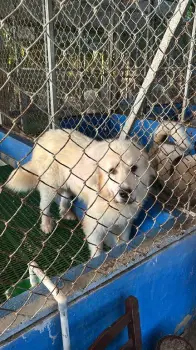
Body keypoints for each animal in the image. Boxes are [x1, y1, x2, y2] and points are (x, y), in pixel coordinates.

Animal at [6, 129, 155, 258]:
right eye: (112, 171)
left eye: (134, 168)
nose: (125, 193)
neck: (110, 199)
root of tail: (46, 134)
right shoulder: (93, 225)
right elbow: (97, 251)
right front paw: (97, 261)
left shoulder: (125, 223)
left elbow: (122, 243)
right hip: (51, 188)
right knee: (44, 206)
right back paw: (46, 225)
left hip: (67, 184)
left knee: (64, 198)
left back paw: (65, 213)